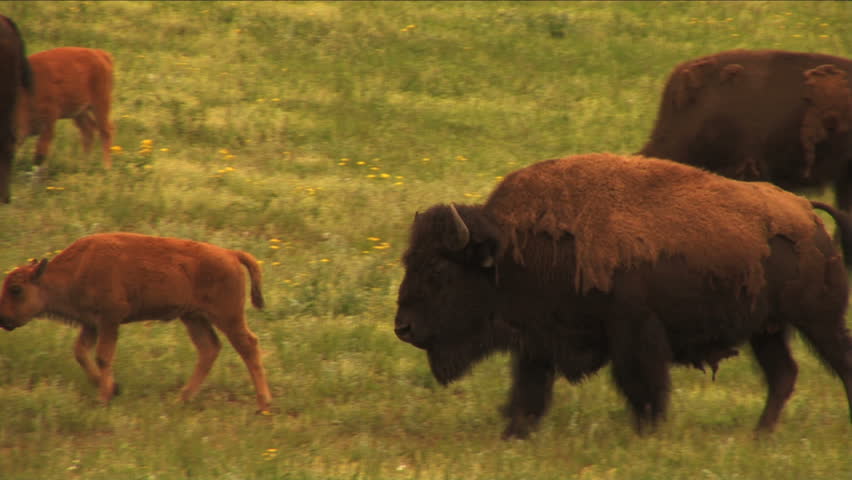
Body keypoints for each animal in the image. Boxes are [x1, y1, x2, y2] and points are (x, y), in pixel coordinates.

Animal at [0, 232, 272, 412]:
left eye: (16, 289)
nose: (3, 318)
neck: (78, 267)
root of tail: (232, 254)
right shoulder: (91, 323)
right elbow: (80, 352)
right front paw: (112, 388)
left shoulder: (109, 319)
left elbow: (102, 356)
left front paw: (103, 398)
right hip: (193, 317)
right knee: (209, 348)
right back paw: (181, 399)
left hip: (227, 316)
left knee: (248, 346)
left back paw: (263, 405)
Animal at [15, 47, 115, 175]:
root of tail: (101, 54)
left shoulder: (48, 122)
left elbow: (40, 154)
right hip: (79, 112)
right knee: (88, 131)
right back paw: (84, 166)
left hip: (100, 104)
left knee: (106, 131)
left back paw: (106, 167)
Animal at [394, 153, 852, 439]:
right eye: (409, 261)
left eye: (438, 270)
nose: (403, 328)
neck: (514, 250)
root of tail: (807, 212)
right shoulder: (538, 340)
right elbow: (529, 391)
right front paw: (514, 433)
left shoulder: (634, 335)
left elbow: (642, 387)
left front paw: (647, 433)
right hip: (767, 330)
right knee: (782, 374)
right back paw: (759, 435)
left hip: (819, 322)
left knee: (834, 365)